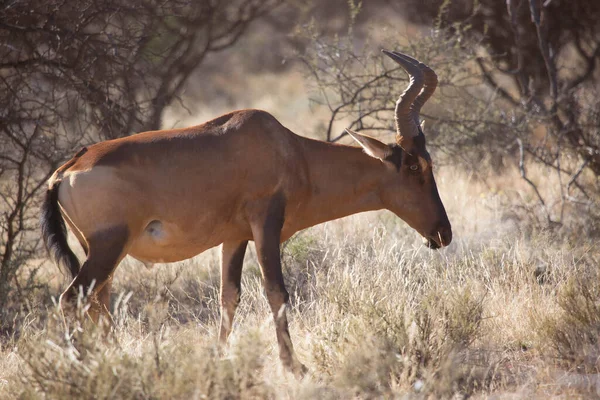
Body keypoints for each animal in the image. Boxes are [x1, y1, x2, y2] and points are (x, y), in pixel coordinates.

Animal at [41, 50, 450, 376]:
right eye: (416, 166)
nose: (443, 233)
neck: (289, 149)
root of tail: (65, 170)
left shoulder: (234, 237)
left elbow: (229, 296)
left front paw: (220, 357)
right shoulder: (265, 225)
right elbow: (276, 291)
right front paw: (294, 366)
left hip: (101, 252)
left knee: (98, 304)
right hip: (108, 247)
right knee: (72, 300)